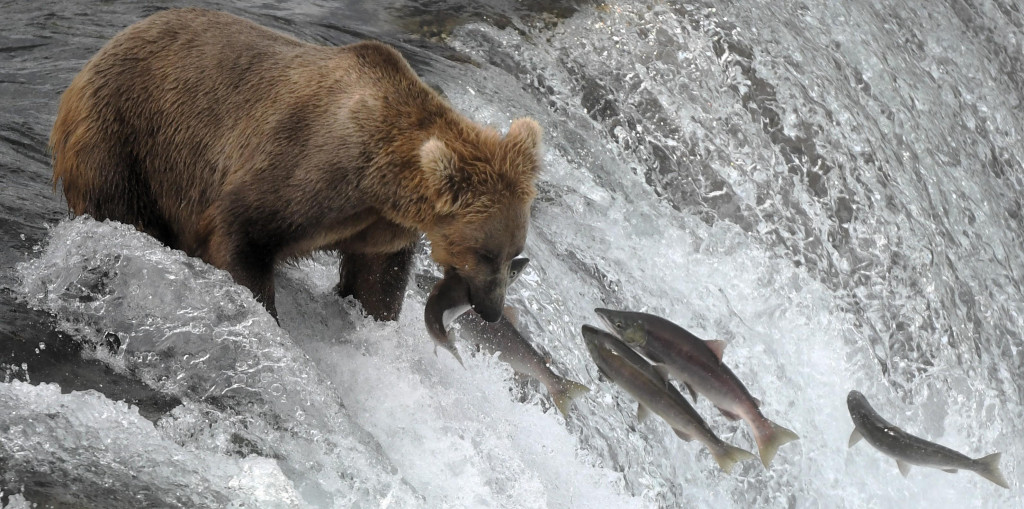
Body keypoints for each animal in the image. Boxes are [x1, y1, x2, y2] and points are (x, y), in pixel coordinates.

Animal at [49, 8, 541, 323]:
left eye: (513, 252)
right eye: (486, 252)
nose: (491, 309)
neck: (379, 179)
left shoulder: (377, 223)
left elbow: (377, 278)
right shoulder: (307, 168)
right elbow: (241, 232)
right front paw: (263, 312)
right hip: (125, 141)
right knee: (120, 207)